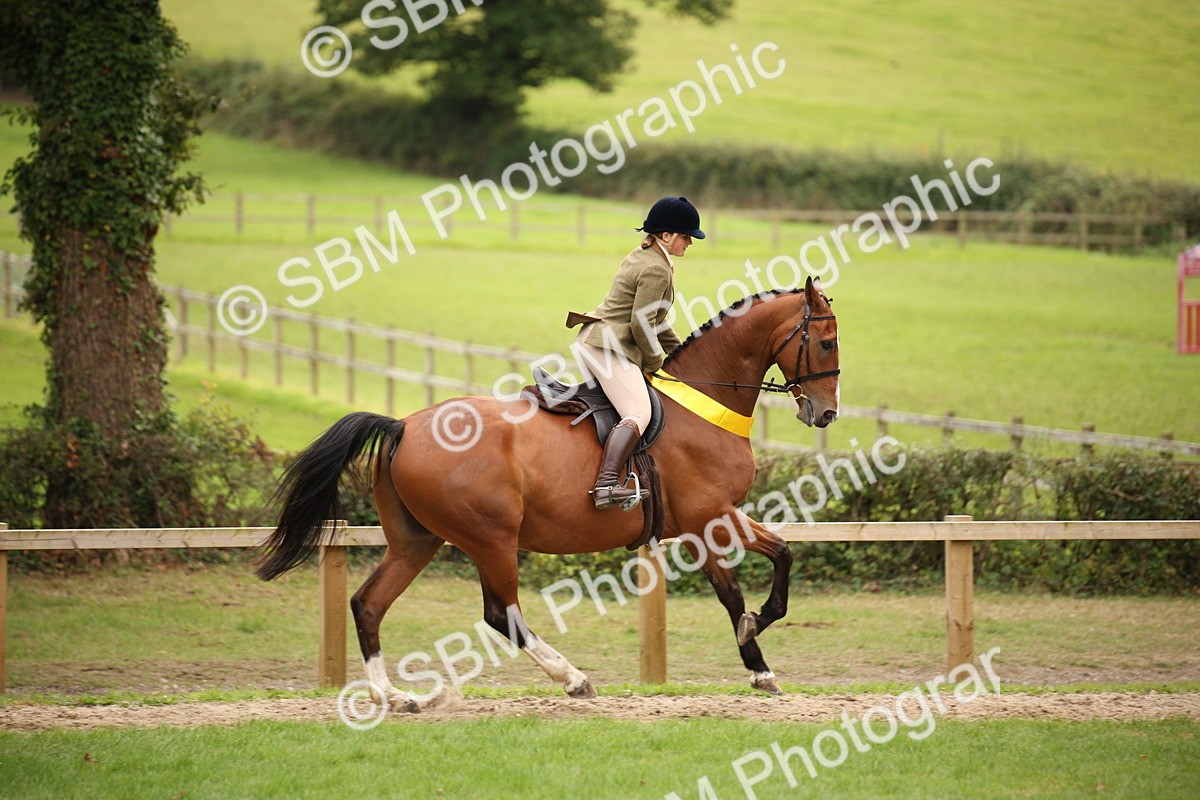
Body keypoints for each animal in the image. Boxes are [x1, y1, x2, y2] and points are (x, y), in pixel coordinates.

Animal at [256, 276, 840, 707]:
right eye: (826, 342)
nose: (825, 414)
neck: (705, 403)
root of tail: (403, 425)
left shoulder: (707, 523)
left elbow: (764, 565)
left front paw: (757, 657)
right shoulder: (710, 517)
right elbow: (750, 581)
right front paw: (756, 640)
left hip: (416, 541)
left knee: (368, 604)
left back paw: (395, 697)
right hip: (491, 539)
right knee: (501, 614)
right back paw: (573, 679)